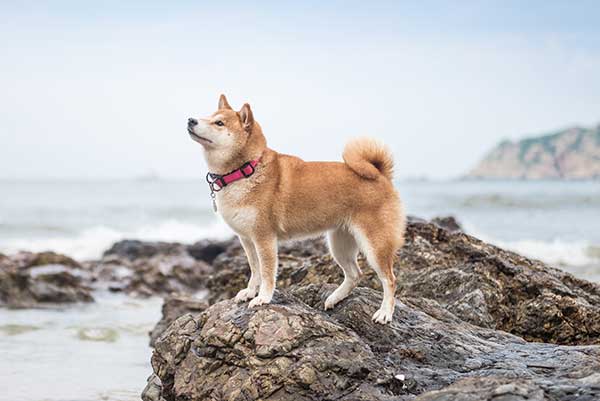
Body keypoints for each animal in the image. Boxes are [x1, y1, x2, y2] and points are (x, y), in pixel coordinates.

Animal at [188, 94, 406, 322]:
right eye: (209, 116)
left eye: (219, 123)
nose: (191, 120)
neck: (246, 170)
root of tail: (380, 175)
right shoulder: (247, 239)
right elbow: (254, 270)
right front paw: (249, 292)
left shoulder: (264, 238)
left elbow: (267, 273)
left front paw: (263, 298)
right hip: (340, 243)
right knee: (355, 274)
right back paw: (335, 298)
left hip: (375, 245)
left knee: (390, 279)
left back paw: (385, 312)